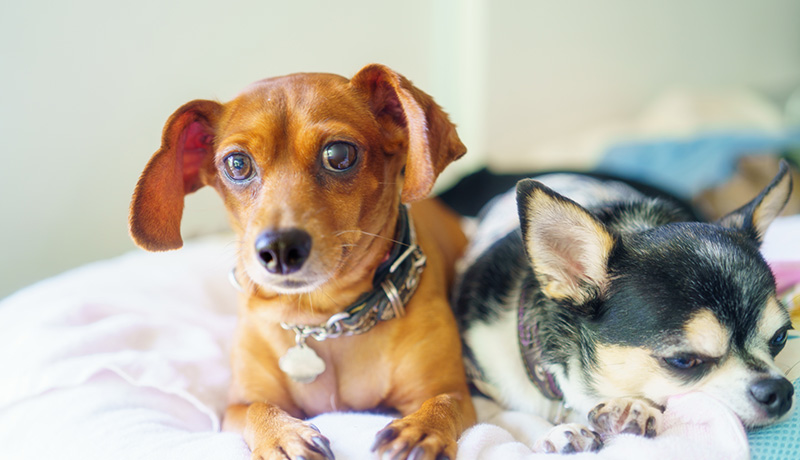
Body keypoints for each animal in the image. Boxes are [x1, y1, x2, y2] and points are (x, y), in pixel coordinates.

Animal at [126, 65, 476, 460]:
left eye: (338, 154)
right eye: (237, 164)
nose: (279, 249)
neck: (321, 319)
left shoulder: (454, 393)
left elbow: (442, 402)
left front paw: (421, 430)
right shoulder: (236, 406)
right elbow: (259, 409)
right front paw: (282, 435)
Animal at [454, 163, 796, 452]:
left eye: (780, 338)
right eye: (684, 360)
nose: (779, 391)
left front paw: (635, 407)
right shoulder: (473, 390)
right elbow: (504, 418)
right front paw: (555, 431)